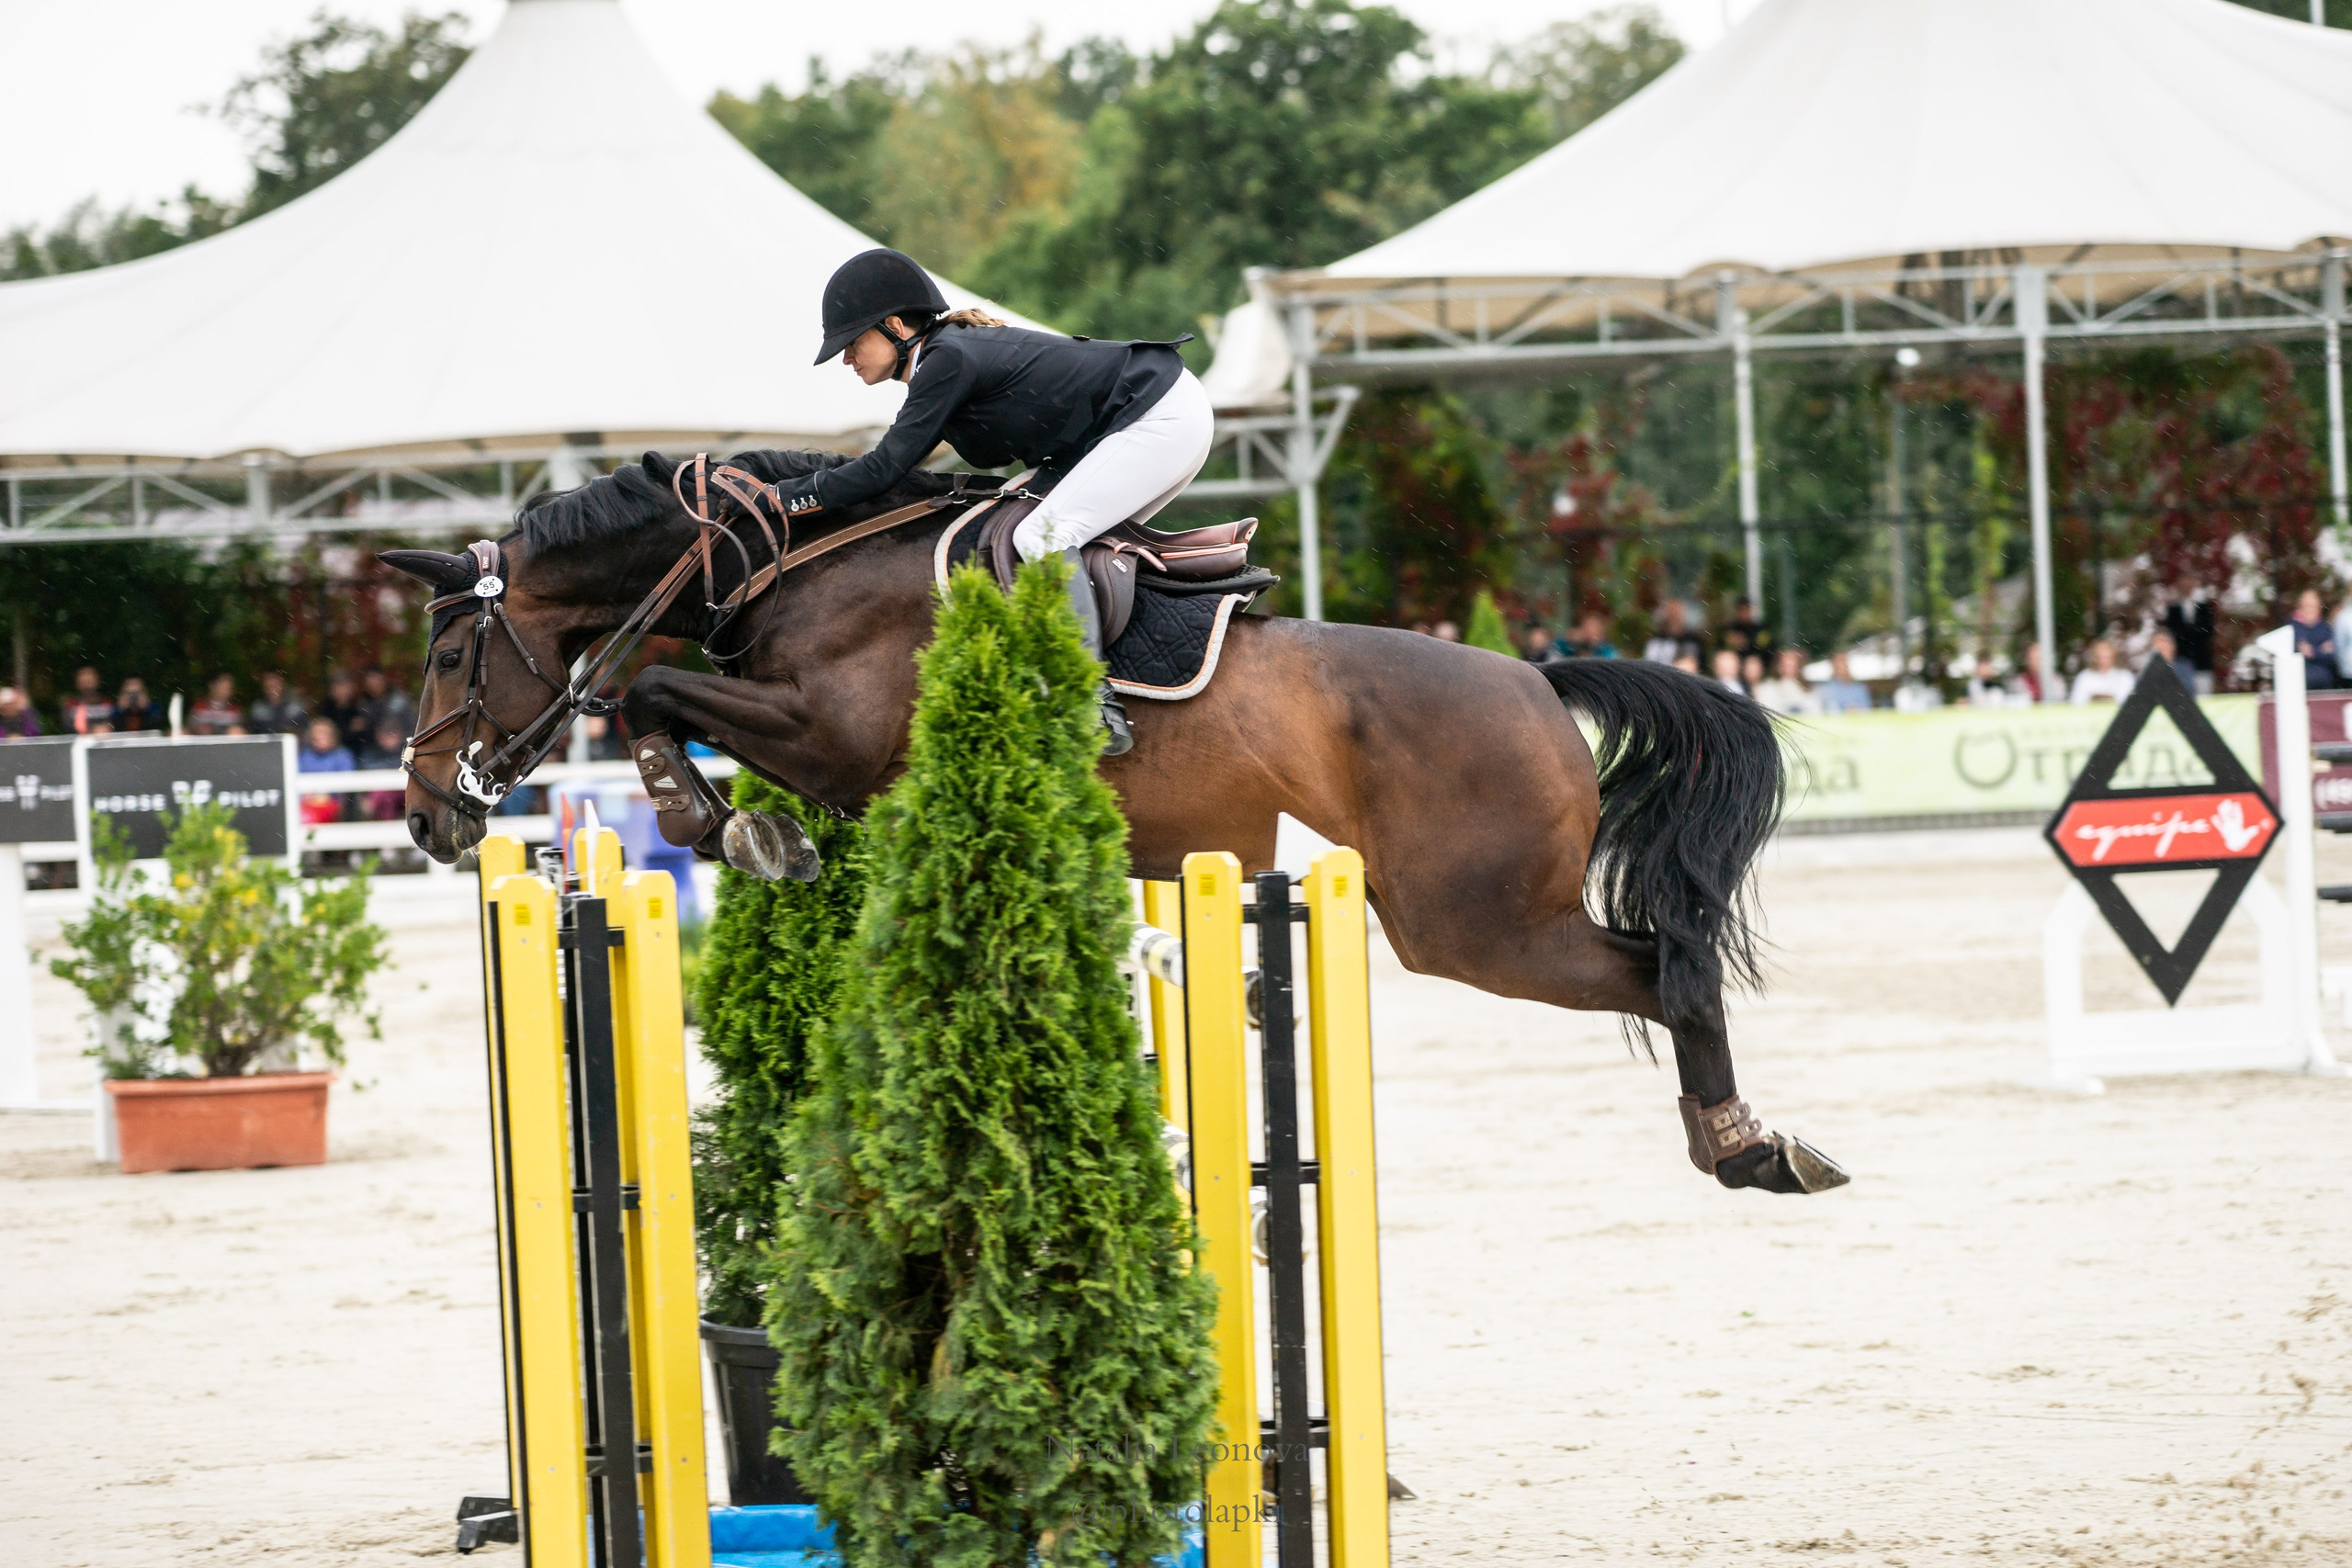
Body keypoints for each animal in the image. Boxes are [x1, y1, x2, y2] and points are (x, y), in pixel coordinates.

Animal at [384, 449, 1845, 1195]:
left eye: (451, 655)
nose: (425, 817)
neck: (787, 563)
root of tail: (1540, 678)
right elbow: (664, 695)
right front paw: (751, 829)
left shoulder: (833, 732)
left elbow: (649, 687)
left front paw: (731, 825)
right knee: (1662, 964)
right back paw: (1747, 1141)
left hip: (1471, 924)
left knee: (1665, 968)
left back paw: (1747, 1147)